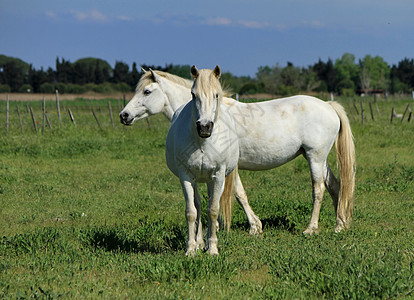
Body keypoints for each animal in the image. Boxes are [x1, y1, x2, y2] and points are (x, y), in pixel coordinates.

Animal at [166, 65, 239, 255]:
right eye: (193, 94)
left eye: (216, 95)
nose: (204, 127)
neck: (203, 142)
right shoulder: (185, 176)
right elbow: (191, 211)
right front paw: (191, 249)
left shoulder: (218, 175)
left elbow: (213, 210)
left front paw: (212, 248)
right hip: (196, 179)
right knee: (198, 205)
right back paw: (199, 242)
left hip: (211, 179)